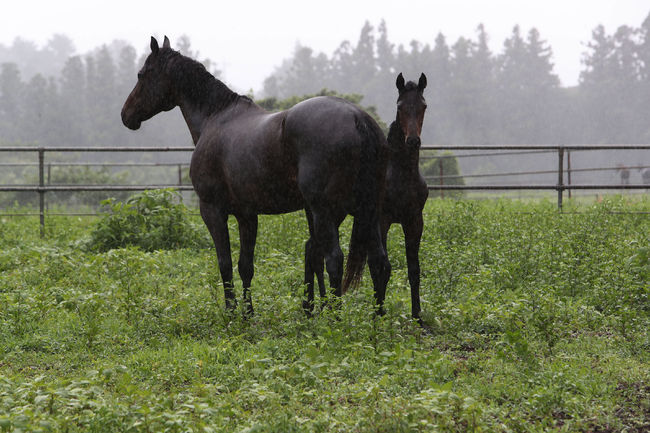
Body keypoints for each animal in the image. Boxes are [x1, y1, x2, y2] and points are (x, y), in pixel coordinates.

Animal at [119, 37, 388, 314]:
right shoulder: (247, 215)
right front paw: (248, 313)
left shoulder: (212, 210)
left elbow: (225, 262)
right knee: (379, 261)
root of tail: (357, 117)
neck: (215, 117)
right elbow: (245, 266)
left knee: (334, 259)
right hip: (368, 209)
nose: (126, 114)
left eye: (142, 74)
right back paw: (377, 318)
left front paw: (231, 311)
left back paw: (335, 317)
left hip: (326, 211)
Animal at [304, 71, 426, 320]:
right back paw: (315, 306)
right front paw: (378, 312)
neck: (400, 175)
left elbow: (413, 269)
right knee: (313, 251)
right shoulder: (382, 221)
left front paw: (417, 316)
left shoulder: (414, 221)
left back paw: (315, 306)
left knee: (312, 250)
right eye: (400, 106)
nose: (413, 140)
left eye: (423, 106)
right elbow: (379, 265)